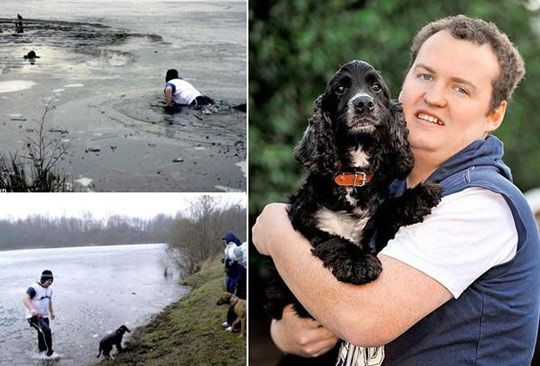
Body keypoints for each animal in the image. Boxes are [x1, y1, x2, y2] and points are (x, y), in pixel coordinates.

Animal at [264, 60, 440, 320]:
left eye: (376, 87)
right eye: (340, 89)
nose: (363, 103)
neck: (352, 178)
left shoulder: (375, 223)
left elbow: (386, 209)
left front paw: (419, 196)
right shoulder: (308, 220)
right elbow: (333, 239)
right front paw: (359, 264)